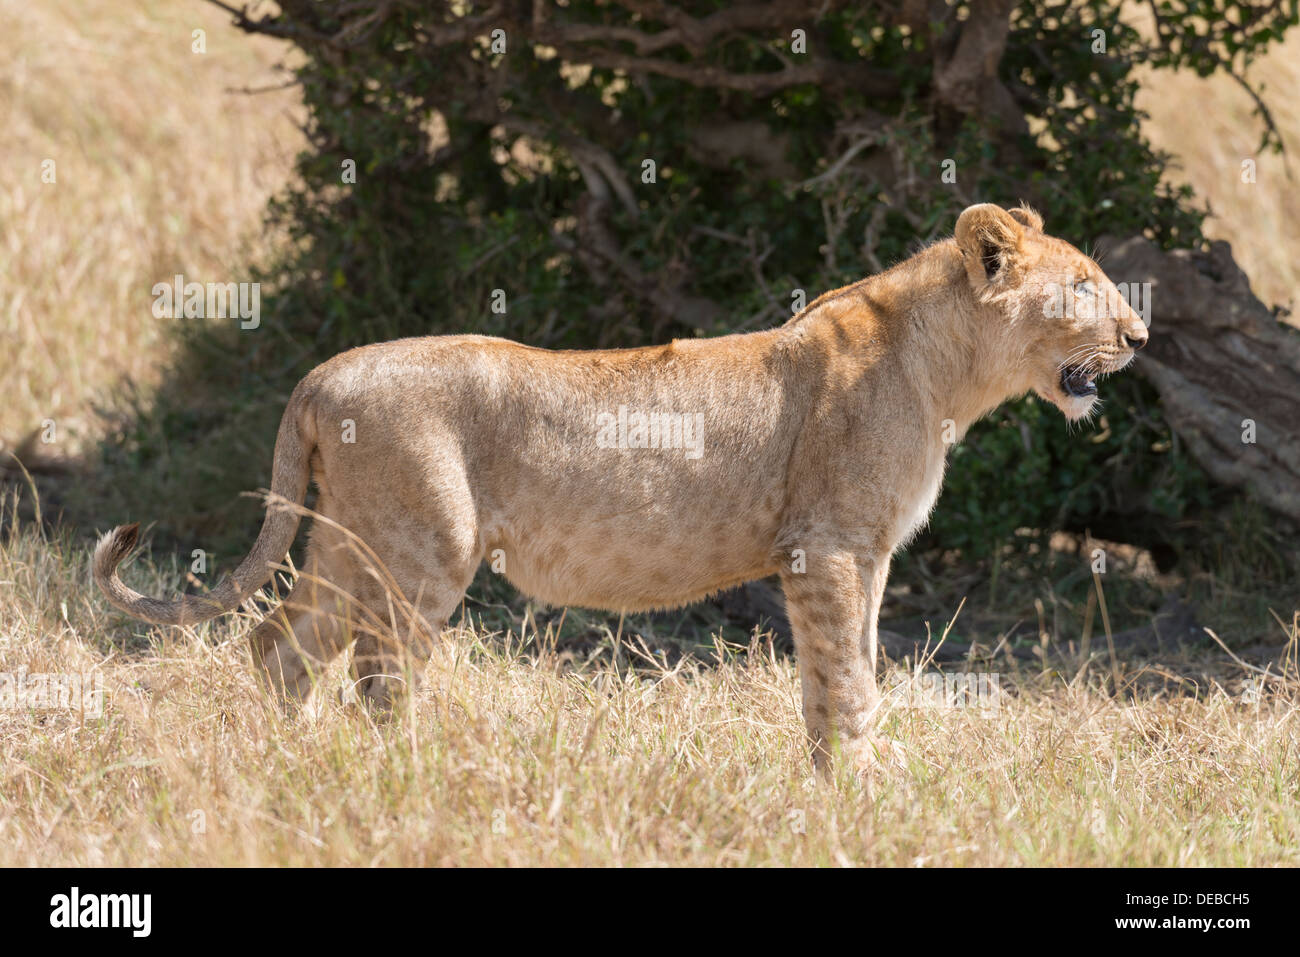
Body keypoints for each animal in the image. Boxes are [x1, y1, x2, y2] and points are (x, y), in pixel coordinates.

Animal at [95, 203, 1148, 772]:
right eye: (1083, 287)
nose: (1140, 335)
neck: (949, 370)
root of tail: (320, 375)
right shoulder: (831, 547)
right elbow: (847, 677)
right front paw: (865, 783)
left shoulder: (859, 555)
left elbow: (834, 672)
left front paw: (824, 785)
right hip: (424, 547)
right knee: (379, 673)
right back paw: (409, 775)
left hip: (349, 539)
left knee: (281, 642)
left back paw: (296, 765)